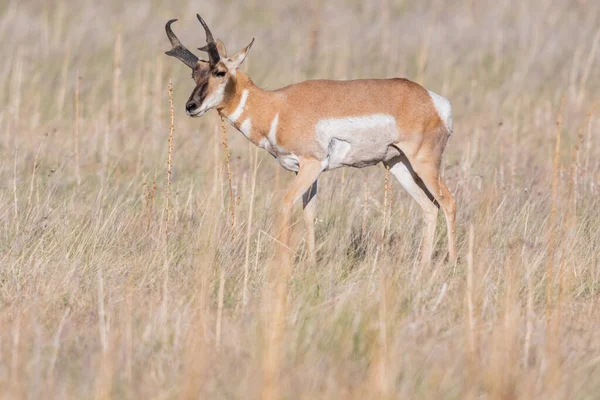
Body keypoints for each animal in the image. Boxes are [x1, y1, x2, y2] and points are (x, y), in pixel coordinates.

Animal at [164, 15, 454, 264]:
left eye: (220, 72)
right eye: (195, 74)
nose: (191, 106)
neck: (276, 106)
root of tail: (433, 100)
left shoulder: (312, 164)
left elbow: (284, 206)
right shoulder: (302, 171)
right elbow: (309, 213)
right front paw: (312, 264)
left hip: (423, 163)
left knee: (448, 202)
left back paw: (450, 264)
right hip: (397, 164)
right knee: (430, 208)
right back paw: (423, 265)